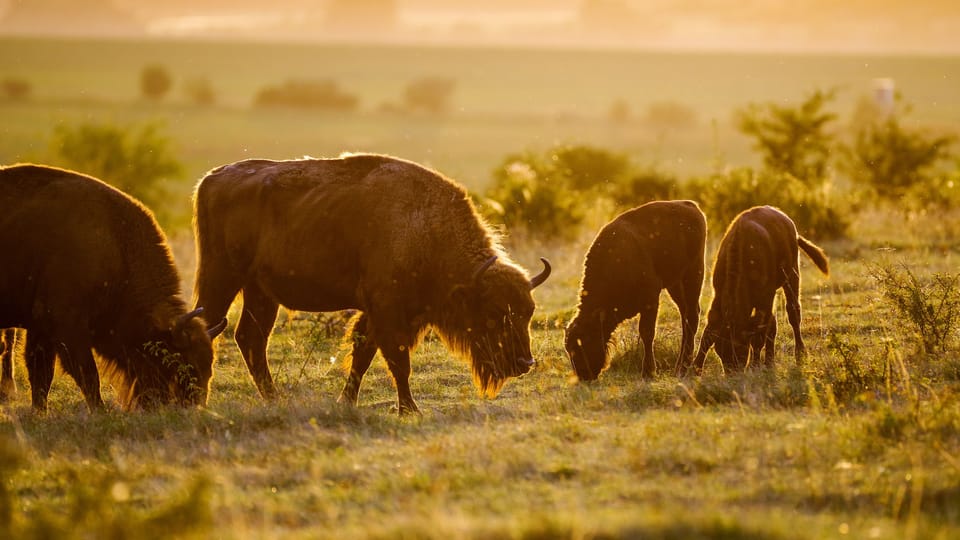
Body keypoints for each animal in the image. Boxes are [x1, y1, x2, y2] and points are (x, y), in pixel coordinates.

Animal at [0, 162, 227, 412]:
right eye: (179, 364)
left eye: (208, 367)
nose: (193, 407)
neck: (116, 247)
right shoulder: (67, 328)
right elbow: (87, 374)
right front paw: (100, 410)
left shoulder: (41, 328)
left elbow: (41, 374)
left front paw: (40, 411)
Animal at [191, 152, 552, 414]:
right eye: (492, 313)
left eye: (527, 313)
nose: (524, 363)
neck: (425, 226)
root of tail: (211, 178)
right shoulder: (388, 310)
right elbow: (398, 361)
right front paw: (410, 409)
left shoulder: (382, 313)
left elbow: (363, 354)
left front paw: (347, 401)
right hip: (221, 278)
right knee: (210, 328)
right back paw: (200, 398)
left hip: (260, 292)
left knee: (250, 339)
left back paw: (273, 398)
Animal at [564, 200, 704, 382]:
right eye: (568, 348)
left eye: (585, 341)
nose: (583, 375)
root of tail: (690, 205)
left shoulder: (651, 300)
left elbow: (647, 333)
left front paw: (648, 372)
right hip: (675, 284)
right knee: (685, 315)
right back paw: (680, 367)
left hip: (693, 274)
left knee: (692, 315)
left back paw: (683, 368)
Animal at [688, 205, 828, 374]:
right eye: (720, 352)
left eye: (740, 350)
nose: (732, 373)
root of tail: (786, 220)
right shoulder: (718, 297)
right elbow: (707, 335)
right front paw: (695, 368)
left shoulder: (765, 298)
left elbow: (758, 336)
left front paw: (755, 365)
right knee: (773, 324)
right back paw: (770, 362)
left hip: (792, 276)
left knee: (793, 313)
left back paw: (800, 355)